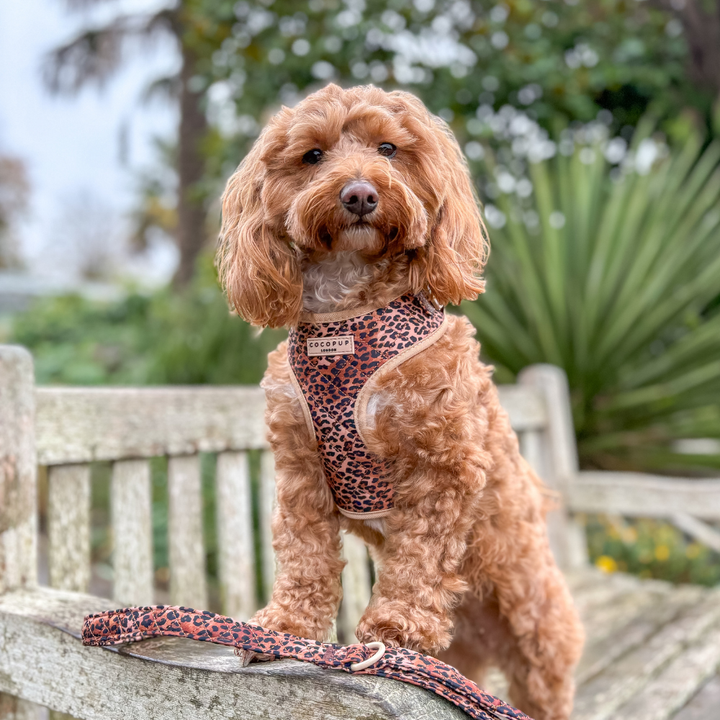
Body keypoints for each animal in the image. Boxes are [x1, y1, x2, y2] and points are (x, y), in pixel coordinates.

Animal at [217, 84, 584, 720]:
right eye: (313, 155)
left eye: (388, 148)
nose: (360, 194)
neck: (346, 315)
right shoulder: (299, 470)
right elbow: (304, 556)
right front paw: (286, 628)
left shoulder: (443, 464)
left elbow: (418, 562)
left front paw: (394, 632)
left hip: (535, 623)